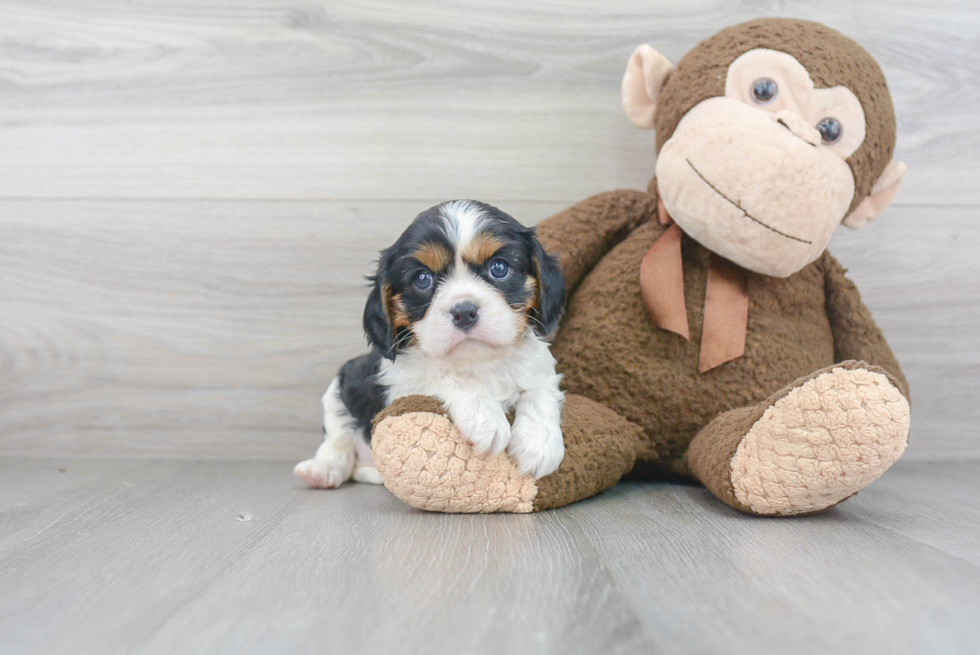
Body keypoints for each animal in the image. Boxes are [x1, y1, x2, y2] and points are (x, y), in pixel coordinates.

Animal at [294, 202, 564, 490]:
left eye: (499, 268)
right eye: (422, 279)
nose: (464, 312)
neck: (477, 362)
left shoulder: (540, 366)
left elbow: (539, 391)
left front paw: (539, 444)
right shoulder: (399, 381)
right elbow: (442, 377)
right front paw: (484, 418)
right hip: (341, 388)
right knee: (339, 448)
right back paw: (321, 471)